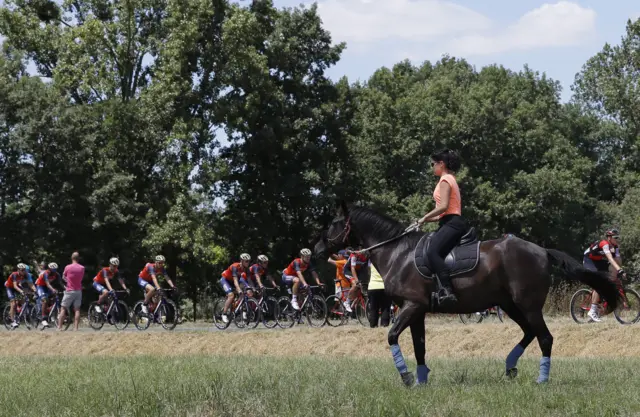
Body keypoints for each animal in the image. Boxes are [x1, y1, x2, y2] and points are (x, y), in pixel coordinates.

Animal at [316, 203, 620, 386]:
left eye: (333, 224)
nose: (317, 249)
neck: (397, 253)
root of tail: (541, 251)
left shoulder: (411, 306)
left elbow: (391, 336)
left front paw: (406, 377)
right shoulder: (417, 310)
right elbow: (419, 346)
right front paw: (422, 380)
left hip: (528, 305)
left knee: (544, 337)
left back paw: (541, 379)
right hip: (510, 305)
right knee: (529, 333)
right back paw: (510, 367)